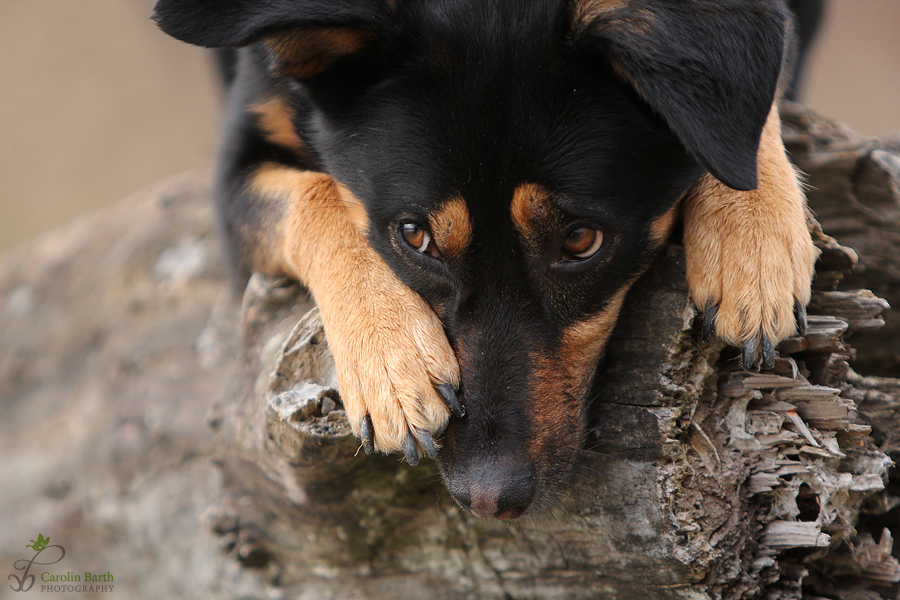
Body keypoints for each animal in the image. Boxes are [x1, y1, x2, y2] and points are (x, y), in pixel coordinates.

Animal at [153, 0, 816, 516]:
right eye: (414, 235)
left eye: (581, 240)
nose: (488, 498)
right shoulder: (237, 170)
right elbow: (319, 195)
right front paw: (391, 362)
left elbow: (747, 111)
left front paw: (752, 239)